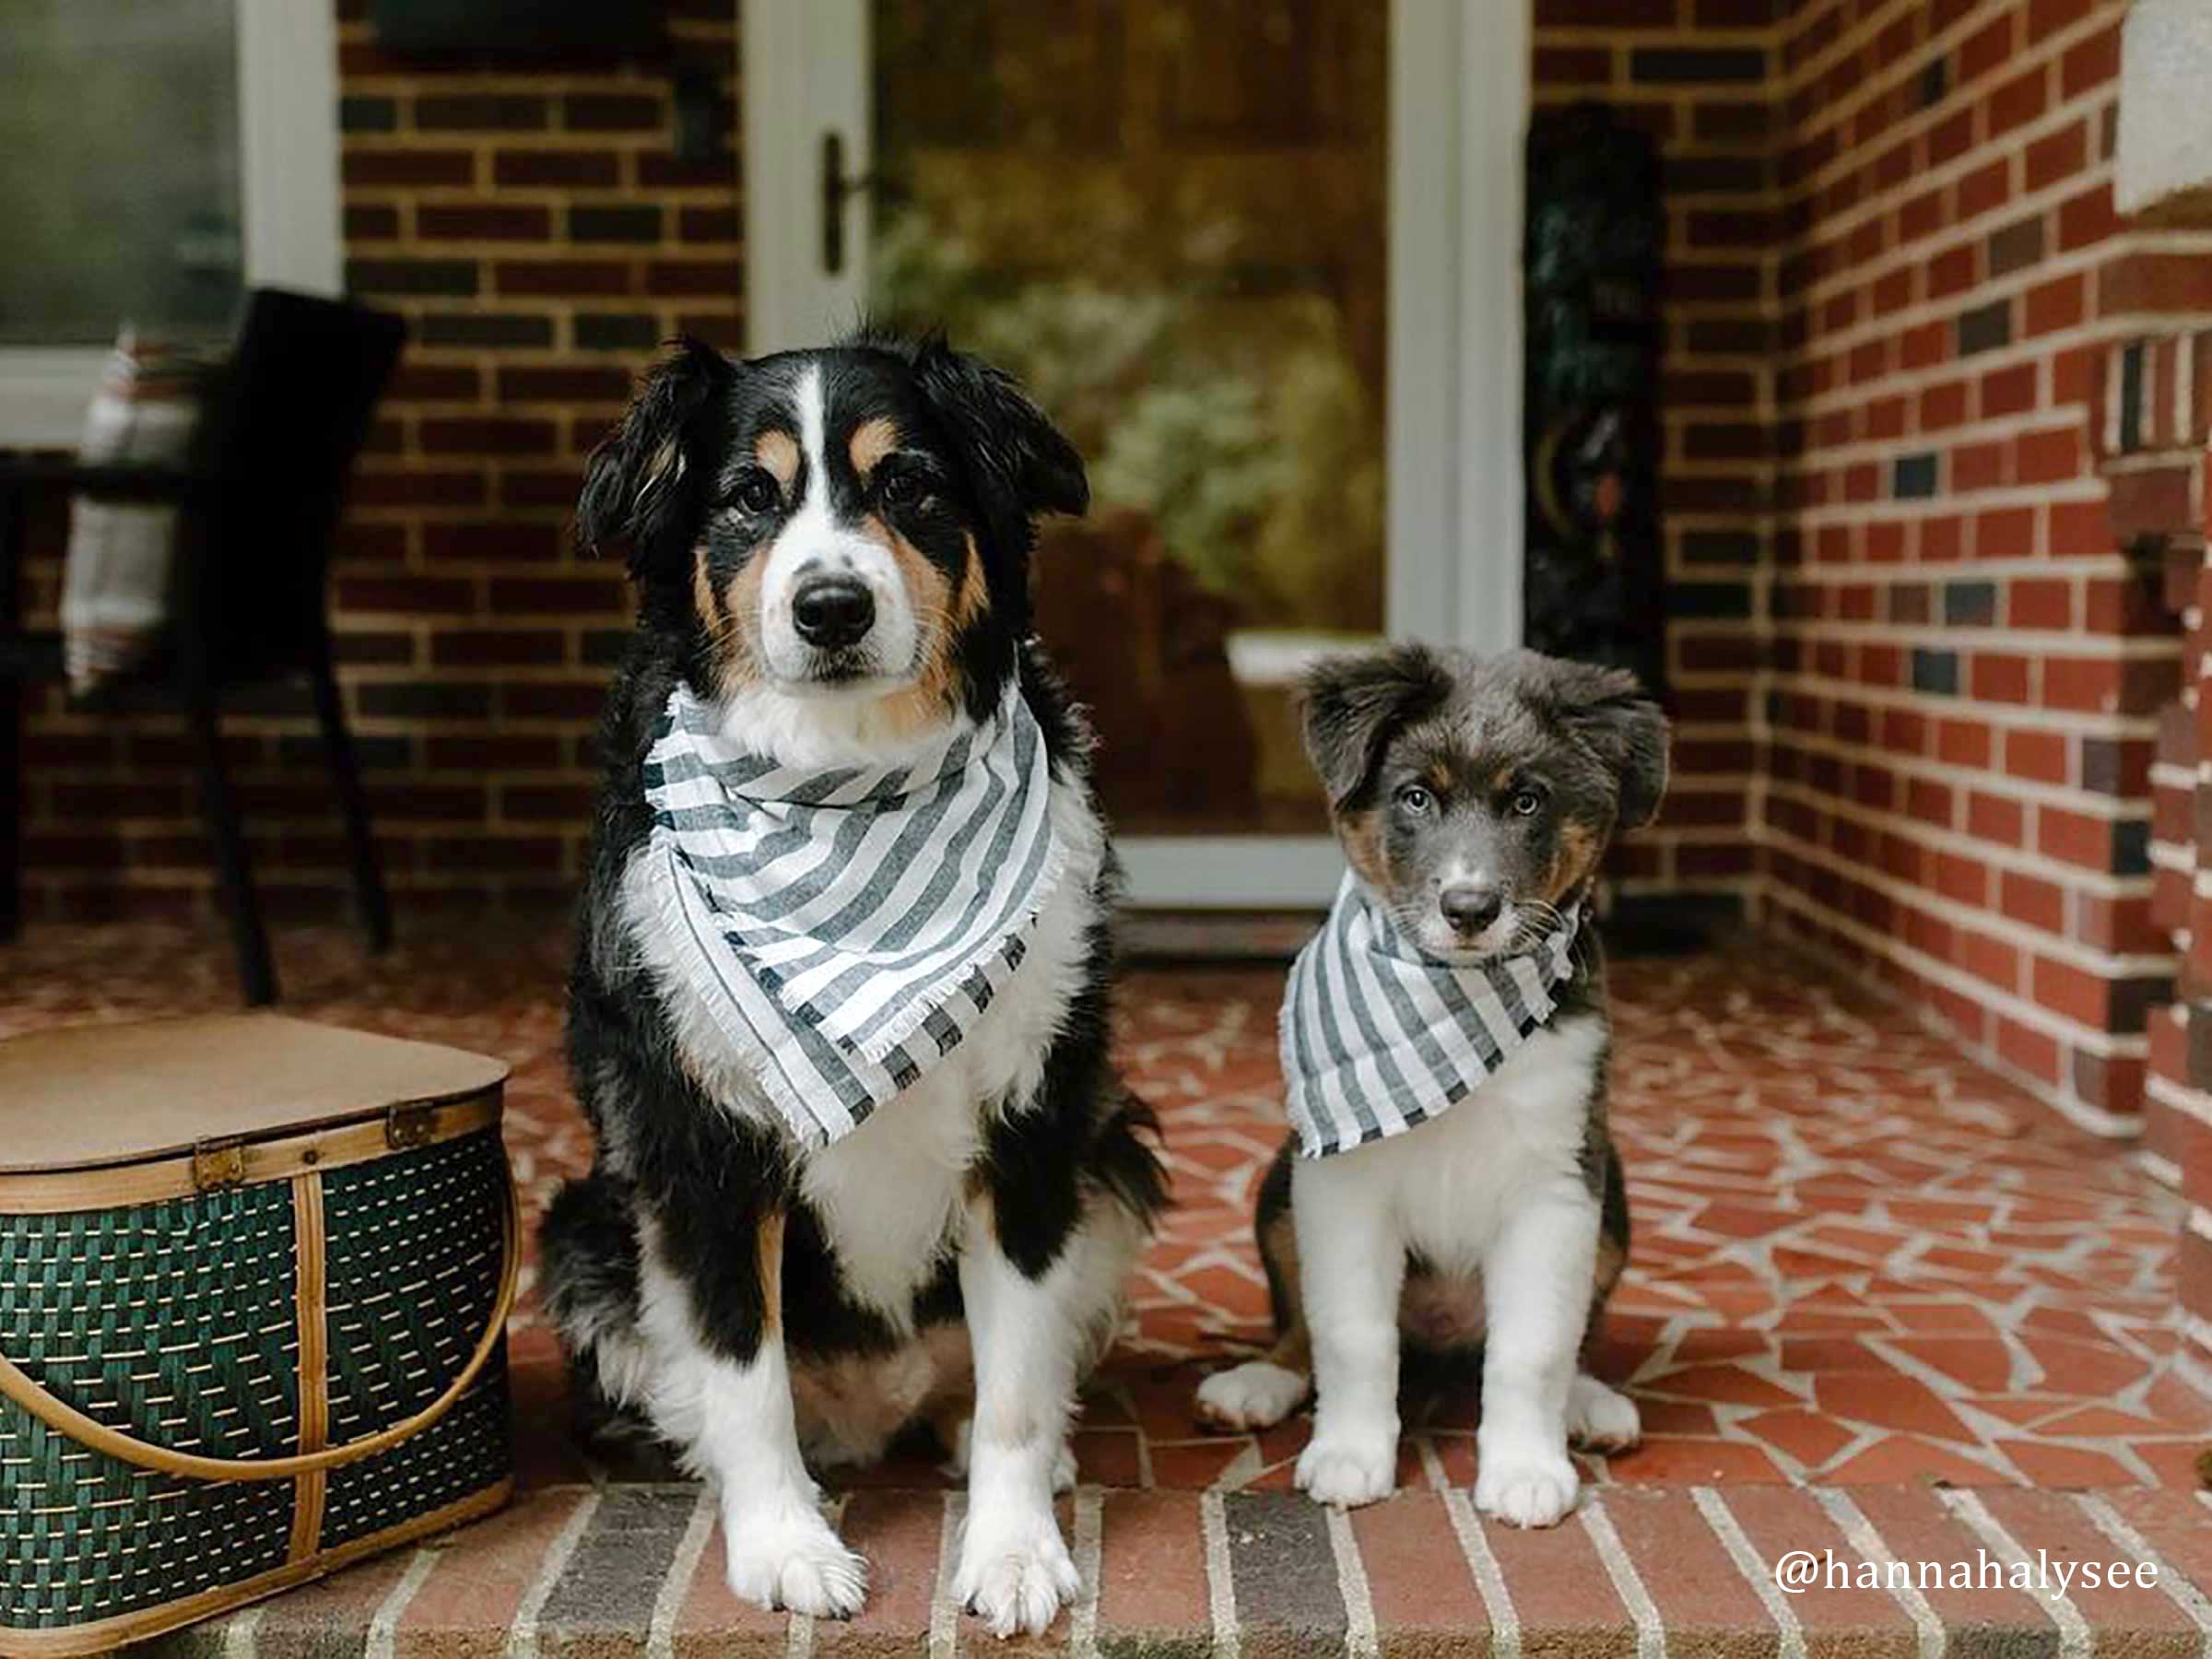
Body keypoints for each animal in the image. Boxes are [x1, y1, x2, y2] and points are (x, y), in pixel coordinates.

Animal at [546, 334, 1168, 1637]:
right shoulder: (700, 1140)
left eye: (912, 487)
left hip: (1116, 1154)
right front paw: (785, 1546)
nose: (830, 606)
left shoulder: (1033, 1126)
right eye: (748, 496)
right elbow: (743, 1369)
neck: (850, 780)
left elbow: (1019, 1381)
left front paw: (1014, 1551)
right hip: (583, 1230)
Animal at [1203, 645, 1663, 1530]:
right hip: (1280, 1179)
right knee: (1300, 1323)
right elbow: (1352, 1334)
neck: (1457, 995)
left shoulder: (1557, 1185)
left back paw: (1589, 1403)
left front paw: (1525, 1470)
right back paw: (1259, 1382)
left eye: (1528, 800)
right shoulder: (1340, 1181)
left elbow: (1534, 1346)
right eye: (1415, 795)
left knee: (1575, 1330)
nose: (1469, 906)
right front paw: (1349, 1455)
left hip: (1612, 1189)